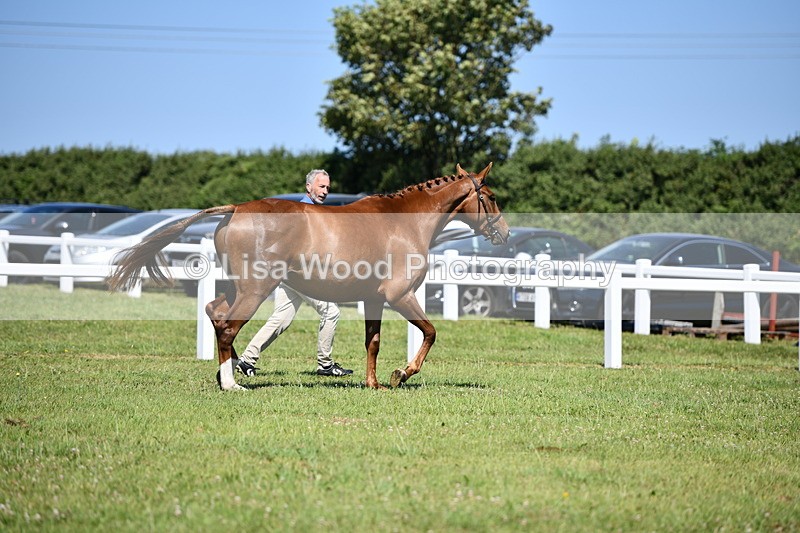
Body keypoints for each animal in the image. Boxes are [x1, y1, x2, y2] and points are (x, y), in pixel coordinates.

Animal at [108, 163, 510, 390]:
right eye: (489, 196)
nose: (504, 233)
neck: (403, 221)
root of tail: (235, 208)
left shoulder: (374, 299)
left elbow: (373, 342)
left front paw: (374, 383)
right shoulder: (400, 296)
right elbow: (430, 332)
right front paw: (402, 374)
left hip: (238, 287)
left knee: (214, 311)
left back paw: (231, 371)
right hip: (255, 290)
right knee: (226, 326)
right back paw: (231, 382)